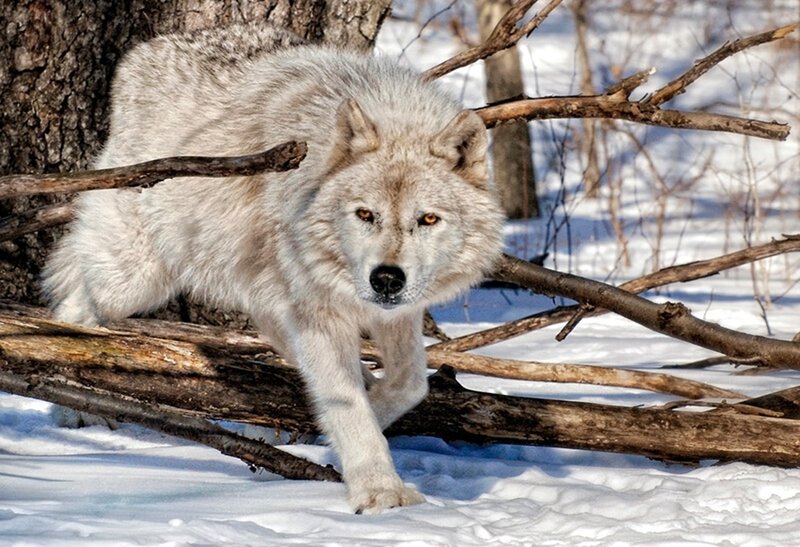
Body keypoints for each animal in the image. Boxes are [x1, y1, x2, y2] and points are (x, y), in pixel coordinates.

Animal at [42, 23, 505, 514]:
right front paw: (379, 491)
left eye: (428, 220)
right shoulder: (322, 314)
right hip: (135, 280)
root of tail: (140, 55)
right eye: (365, 215)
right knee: (73, 310)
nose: (385, 279)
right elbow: (349, 406)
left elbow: (409, 384)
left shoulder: (395, 312)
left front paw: (349, 422)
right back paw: (71, 403)